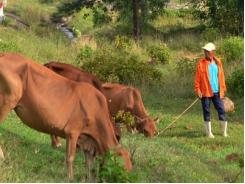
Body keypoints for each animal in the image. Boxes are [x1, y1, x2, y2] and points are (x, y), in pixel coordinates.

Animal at [0, 52, 132, 179]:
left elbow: (89, 164)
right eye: (121, 169)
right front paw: (70, 177)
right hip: (7, 102)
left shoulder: (88, 142)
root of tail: (4, 54)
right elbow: (70, 157)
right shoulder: (72, 132)